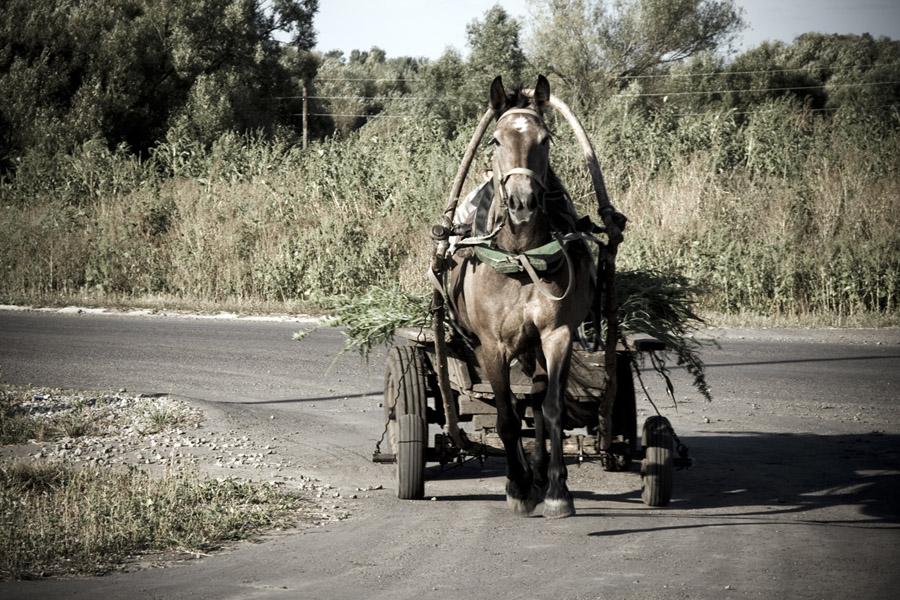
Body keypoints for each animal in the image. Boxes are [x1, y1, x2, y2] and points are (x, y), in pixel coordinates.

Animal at [446, 74, 596, 516]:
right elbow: (507, 418)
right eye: (495, 140)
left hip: (533, 345)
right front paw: (516, 485)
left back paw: (541, 472)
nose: (523, 202)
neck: (521, 255)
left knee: (538, 398)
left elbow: (551, 409)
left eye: (545, 139)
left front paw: (558, 489)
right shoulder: (491, 346)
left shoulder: (556, 334)